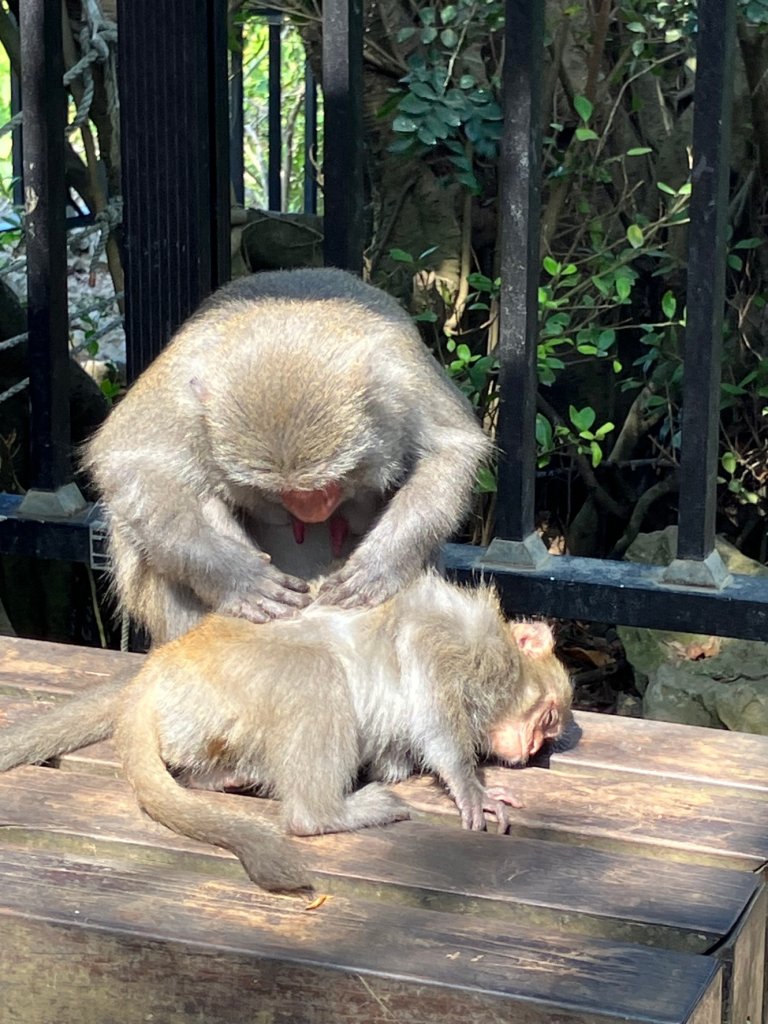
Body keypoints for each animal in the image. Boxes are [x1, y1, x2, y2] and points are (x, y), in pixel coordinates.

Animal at [85, 268, 493, 643]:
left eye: (333, 482)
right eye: (274, 491)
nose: (311, 511)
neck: (288, 320)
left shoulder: (405, 376)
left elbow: (450, 449)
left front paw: (378, 566)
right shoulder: (177, 388)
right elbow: (129, 463)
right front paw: (240, 577)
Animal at [114, 573, 573, 892]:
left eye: (546, 736)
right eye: (549, 719)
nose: (533, 746)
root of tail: (156, 672)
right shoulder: (462, 634)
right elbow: (423, 661)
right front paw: (469, 785)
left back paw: (221, 777)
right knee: (315, 671)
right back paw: (321, 814)